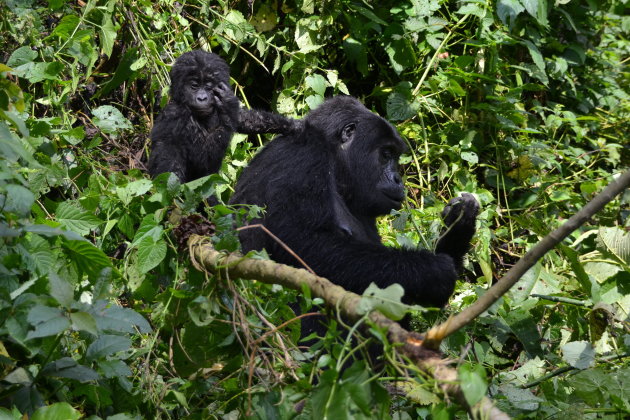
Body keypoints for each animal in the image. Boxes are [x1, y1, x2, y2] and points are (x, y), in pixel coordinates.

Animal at [232, 96, 478, 338]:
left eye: (394, 156)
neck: (335, 165)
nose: (398, 179)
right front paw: (432, 271)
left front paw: (459, 227)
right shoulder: (304, 156)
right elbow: (304, 245)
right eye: (386, 154)